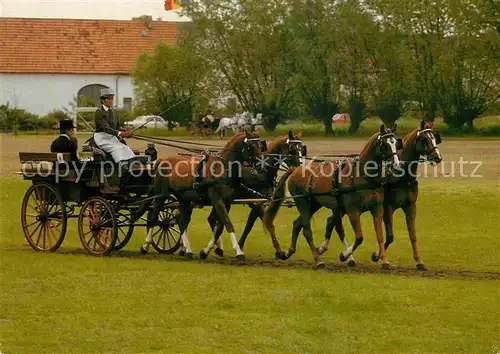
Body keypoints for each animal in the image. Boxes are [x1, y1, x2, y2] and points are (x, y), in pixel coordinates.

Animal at [135, 130, 264, 260]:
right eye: (251, 146)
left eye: (260, 145)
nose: (262, 167)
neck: (223, 167)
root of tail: (161, 160)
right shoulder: (217, 200)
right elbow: (228, 224)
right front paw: (239, 252)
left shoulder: (227, 202)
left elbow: (220, 227)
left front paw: (205, 251)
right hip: (160, 195)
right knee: (153, 218)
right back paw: (145, 246)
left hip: (184, 199)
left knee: (182, 221)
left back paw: (188, 250)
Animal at [201, 130, 306, 260]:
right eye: (292, 149)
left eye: (302, 149)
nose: (299, 168)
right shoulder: (257, 203)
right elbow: (261, 224)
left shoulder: (259, 202)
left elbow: (254, 224)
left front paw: (279, 251)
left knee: (212, 219)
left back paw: (218, 248)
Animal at [266, 126, 402, 266]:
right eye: (385, 144)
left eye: (396, 143)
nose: (397, 165)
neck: (362, 175)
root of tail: (296, 170)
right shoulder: (352, 210)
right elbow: (359, 237)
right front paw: (344, 255)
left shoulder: (377, 208)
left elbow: (380, 236)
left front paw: (384, 260)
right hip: (303, 203)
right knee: (306, 229)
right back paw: (318, 259)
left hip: (314, 204)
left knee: (297, 224)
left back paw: (288, 252)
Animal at [318, 120, 444, 270]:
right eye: (424, 139)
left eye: (434, 138)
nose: (437, 157)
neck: (401, 175)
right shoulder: (388, 207)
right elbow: (389, 236)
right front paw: (378, 256)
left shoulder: (410, 206)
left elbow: (412, 235)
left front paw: (419, 261)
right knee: (334, 223)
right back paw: (336, 253)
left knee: (331, 221)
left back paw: (328, 250)